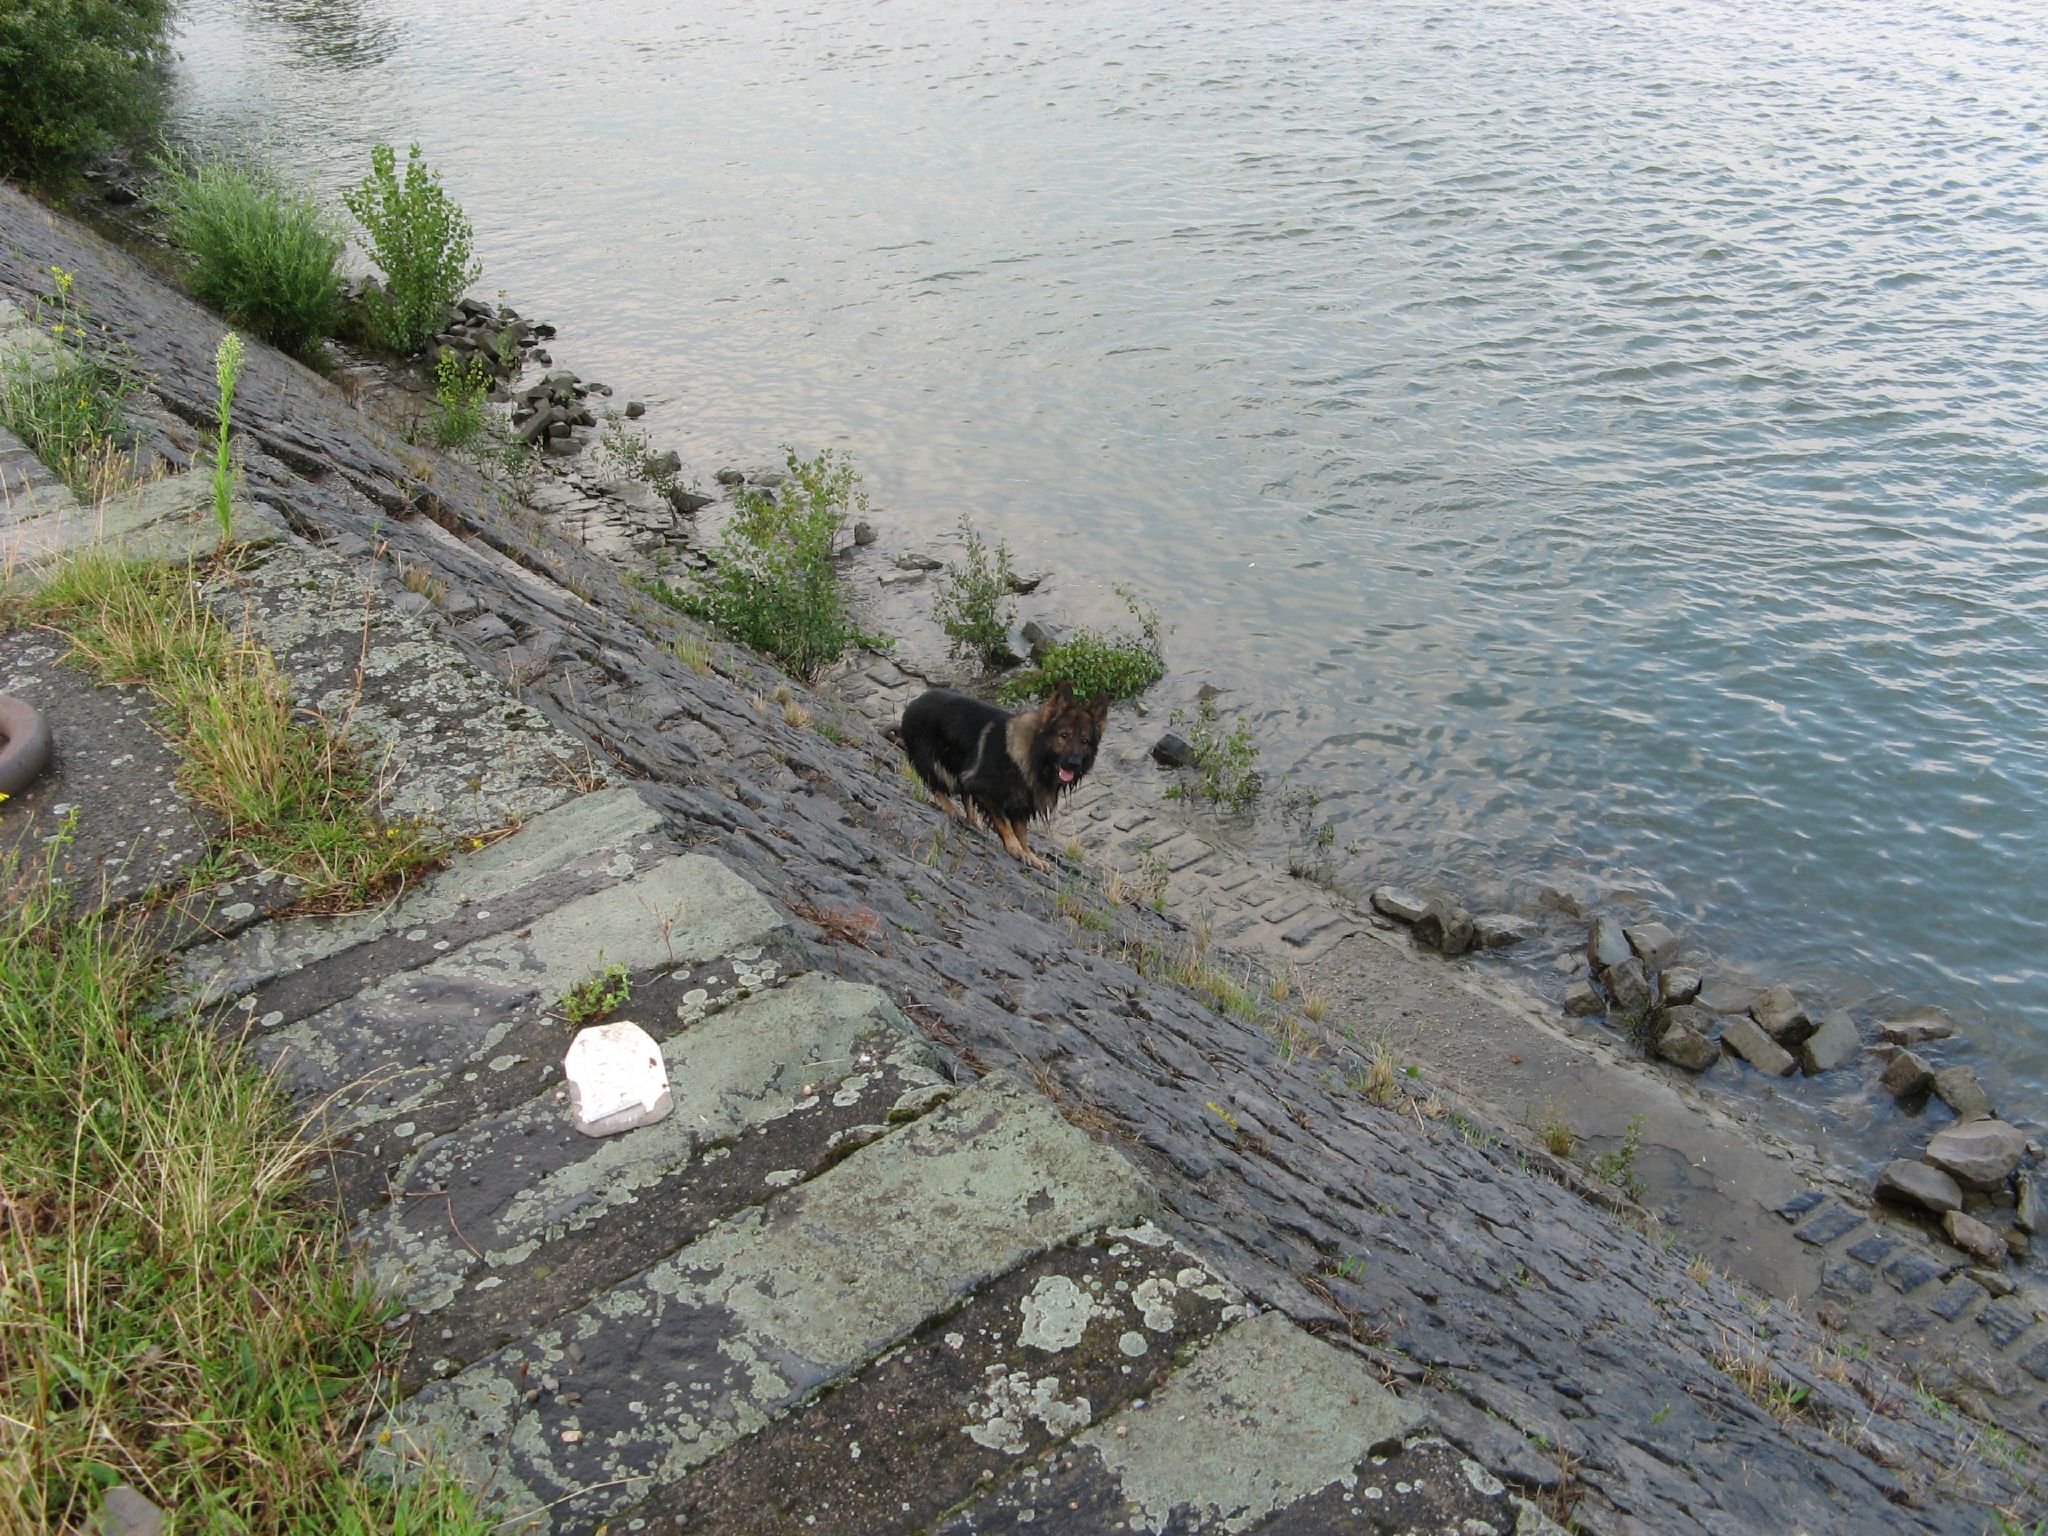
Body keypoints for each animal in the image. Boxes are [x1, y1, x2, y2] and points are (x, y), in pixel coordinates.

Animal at [901, 684, 1114, 868]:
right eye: (1064, 735)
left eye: (1084, 741)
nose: (1074, 763)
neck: (1034, 753)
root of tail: (918, 699)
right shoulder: (982, 788)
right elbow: (1004, 822)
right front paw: (1015, 848)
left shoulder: (1021, 801)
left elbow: (1022, 832)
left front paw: (1029, 854)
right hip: (930, 760)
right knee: (937, 784)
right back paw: (950, 807)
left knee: (964, 795)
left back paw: (972, 820)